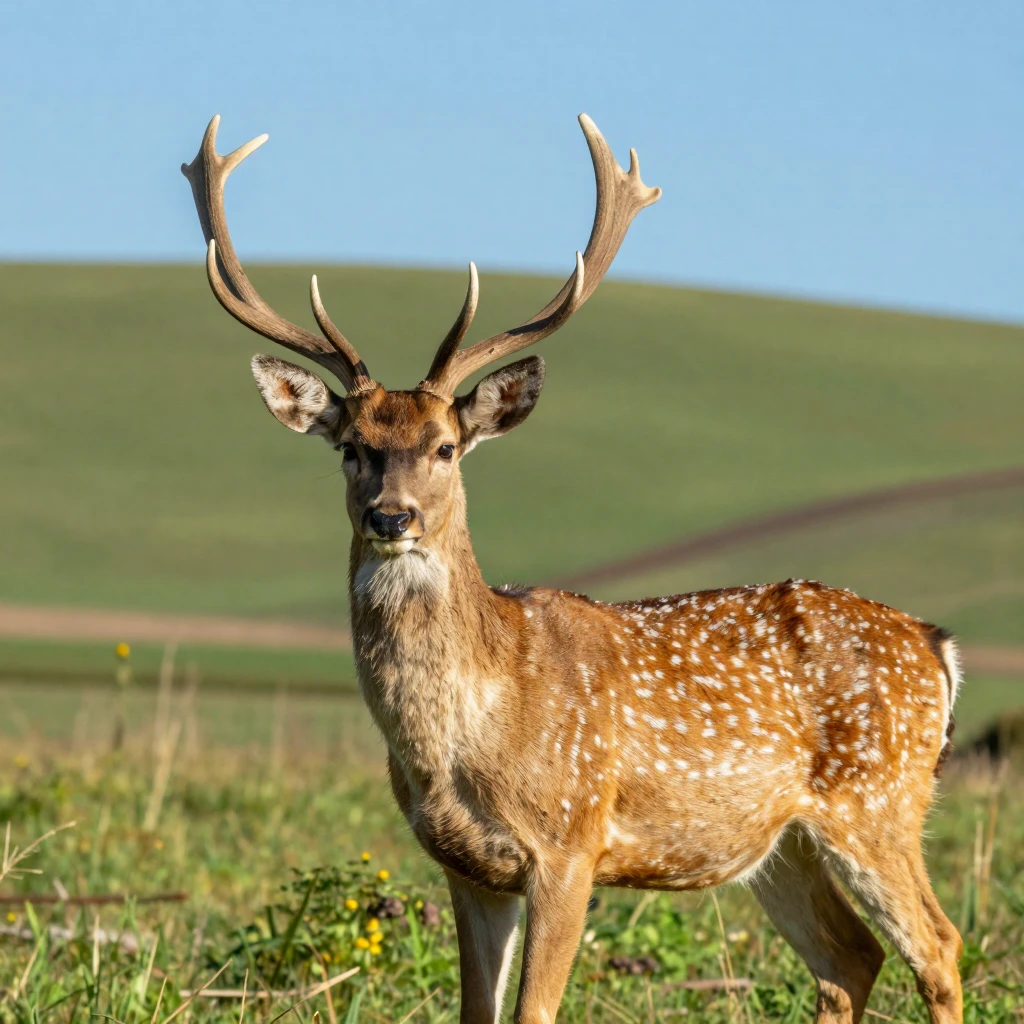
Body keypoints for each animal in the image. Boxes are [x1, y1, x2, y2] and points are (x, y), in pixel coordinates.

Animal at [183, 114, 964, 1024]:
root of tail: (936, 646)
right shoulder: (466, 867)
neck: (465, 736)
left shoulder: (570, 839)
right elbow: (475, 1010)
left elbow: (534, 1011)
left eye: (445, 447)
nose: (392, 517)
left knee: (938, 947)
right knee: (850, 957)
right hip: (780, 843)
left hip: (878, 801)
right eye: (350, 446)